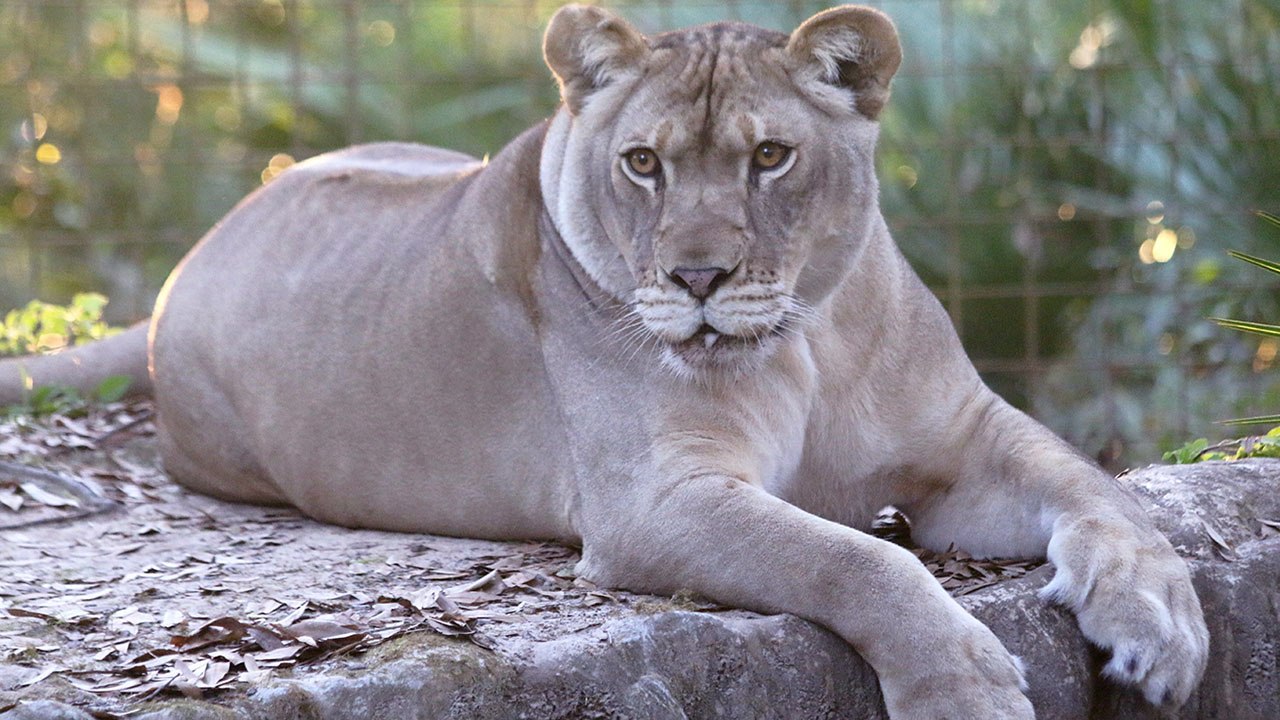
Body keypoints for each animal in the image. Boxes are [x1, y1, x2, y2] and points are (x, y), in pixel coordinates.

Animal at [0, 5, 1207, 718]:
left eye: (771, 156)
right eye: (642, 164)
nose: (697, 277)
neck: (808, 341)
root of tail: (187, 267)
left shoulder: (964, 442)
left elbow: (1094, 491)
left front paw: (1162, 621)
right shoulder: (654, 501)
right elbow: (856, 561)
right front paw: (962, 685)